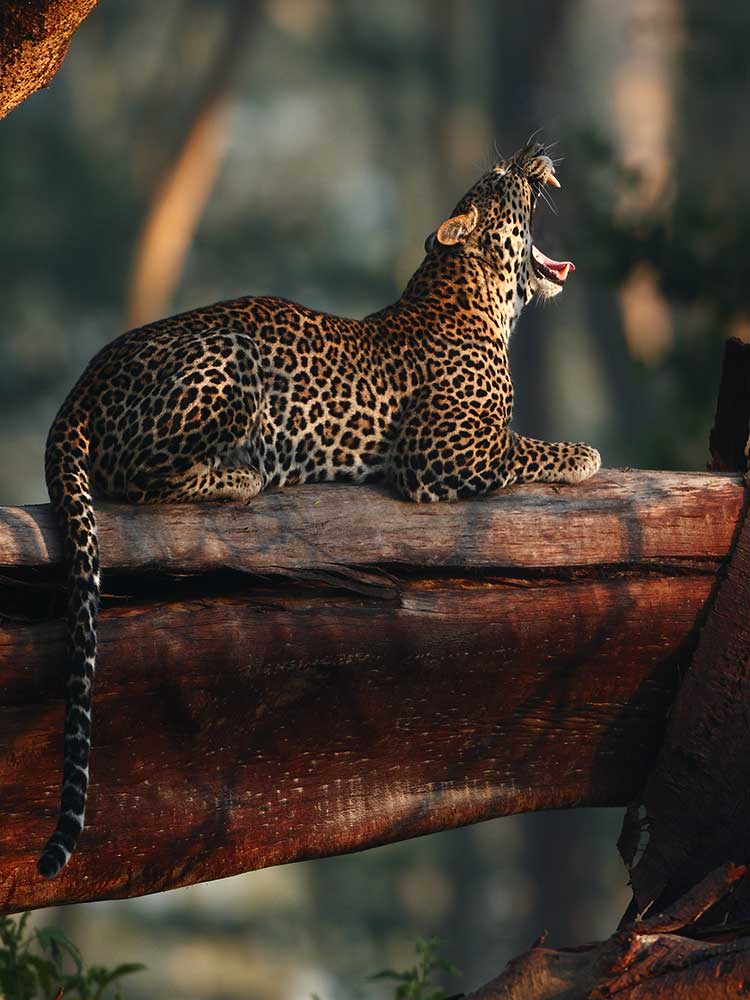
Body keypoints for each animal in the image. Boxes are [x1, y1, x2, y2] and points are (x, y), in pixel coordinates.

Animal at [37, 141, 600, 879]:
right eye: (500, 179)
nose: (533, 155)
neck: (478, 298)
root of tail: (82, 381)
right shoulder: (445, 450)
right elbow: (526, 446)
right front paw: (585, 453)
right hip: (229, 360)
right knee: (139, 479)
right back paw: (241, 474)